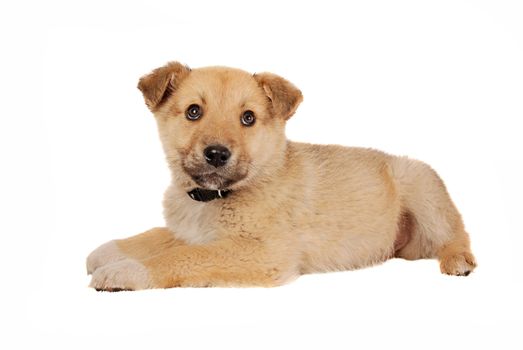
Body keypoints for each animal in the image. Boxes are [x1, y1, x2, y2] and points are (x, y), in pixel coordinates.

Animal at [87, 62, 478, 290]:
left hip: (420, 184)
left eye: (248, 118)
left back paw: (458, 260)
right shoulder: (190, 230)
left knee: (456, 232)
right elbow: (157, 237)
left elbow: (183, 257)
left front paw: (127, 271)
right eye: (193, 112)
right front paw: (110, 251)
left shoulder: (263, 253)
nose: (217, 154)